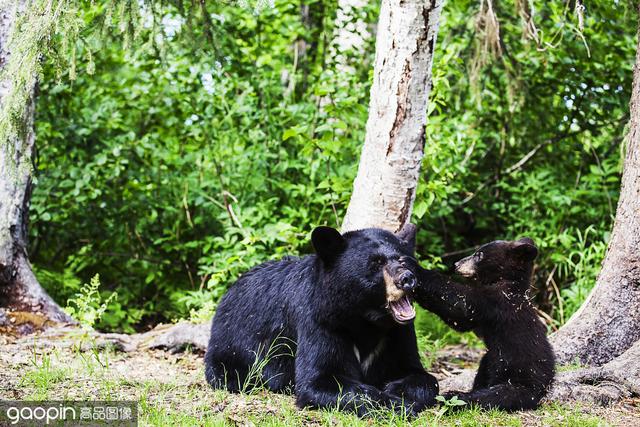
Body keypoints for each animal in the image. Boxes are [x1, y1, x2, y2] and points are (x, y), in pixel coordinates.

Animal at [205, 226, 440, 416]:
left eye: (403, 259)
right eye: (375, 263)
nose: (407, 279)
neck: (365, 320)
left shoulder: (397, 333)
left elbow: (420, 374)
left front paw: (396, 388)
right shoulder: (319, 321)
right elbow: (319, 380)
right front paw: (395, 405)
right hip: (233, 342)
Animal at [402, 239, 552, 412]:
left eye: (479, 254)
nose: (457, 264)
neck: (508, 283)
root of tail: (543, 390)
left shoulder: (496, 302)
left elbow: (462, 305)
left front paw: (414, 266)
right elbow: (462, 320)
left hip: (519, 383)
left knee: (495, 396)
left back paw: (455, 397)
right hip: (491, 360)